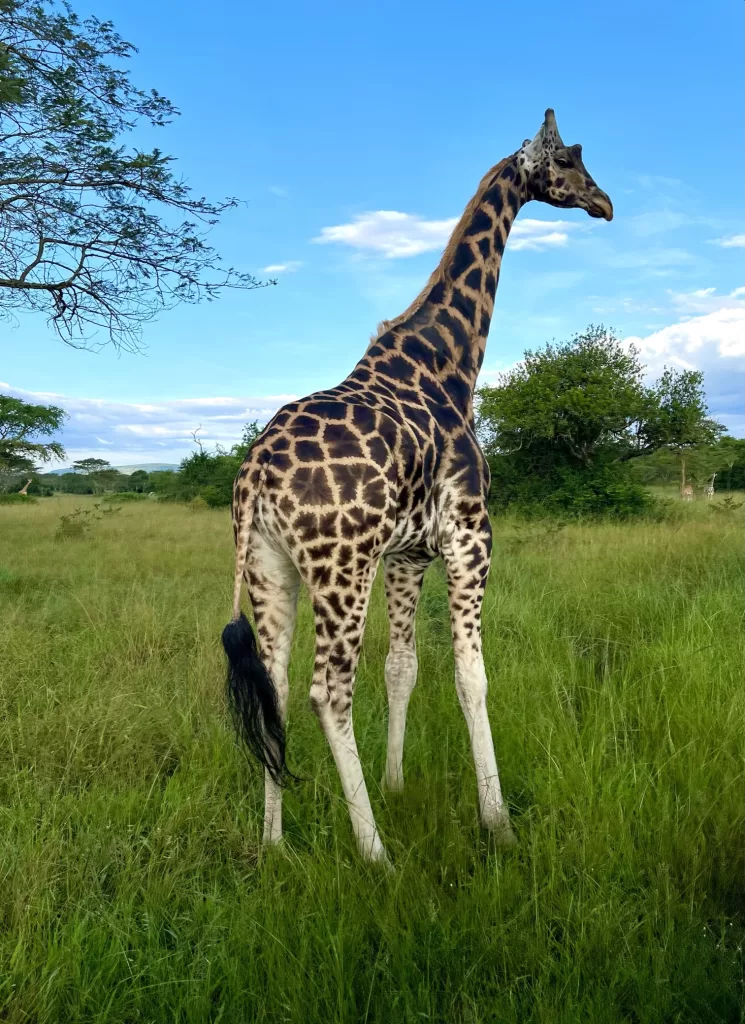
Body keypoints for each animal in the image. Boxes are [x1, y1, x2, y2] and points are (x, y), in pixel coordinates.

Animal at [223, 110, 618, 864]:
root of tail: (254, 477)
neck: (449, 362)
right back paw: (376, 853)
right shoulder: (470, 535)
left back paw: (273, 842)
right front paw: (496, 819)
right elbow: (471, 675)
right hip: (340, 567)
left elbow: (402, 665)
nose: (605, 204)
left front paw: (397, 782)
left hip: (268, 566)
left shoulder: (407, 553)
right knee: (326, 692)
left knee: (276, 684)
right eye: (570, 161)